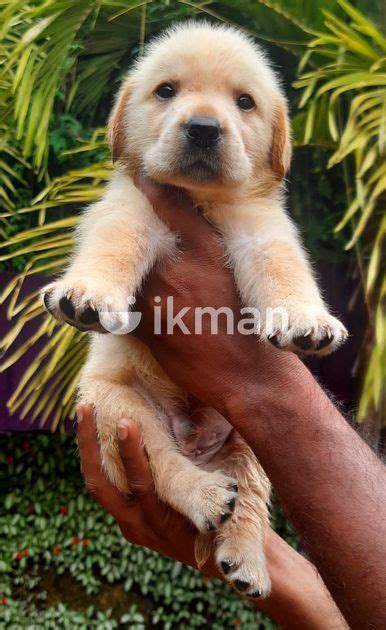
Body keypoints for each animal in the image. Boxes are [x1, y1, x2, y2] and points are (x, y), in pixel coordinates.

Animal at [41, 22, 346, 600]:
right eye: (166, 91)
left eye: (244, 102)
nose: (204, 129)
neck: (200, 200)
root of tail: (196, 443)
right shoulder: (129, 210)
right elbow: (113, 246)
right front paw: (87, 293)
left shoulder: (262, 230)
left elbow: (285, 270)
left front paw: (305, 319)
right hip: (121, 410)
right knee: (166, 466)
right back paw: (205, 494)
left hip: (254, 444)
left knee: (249, 500)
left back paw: (247, 560)